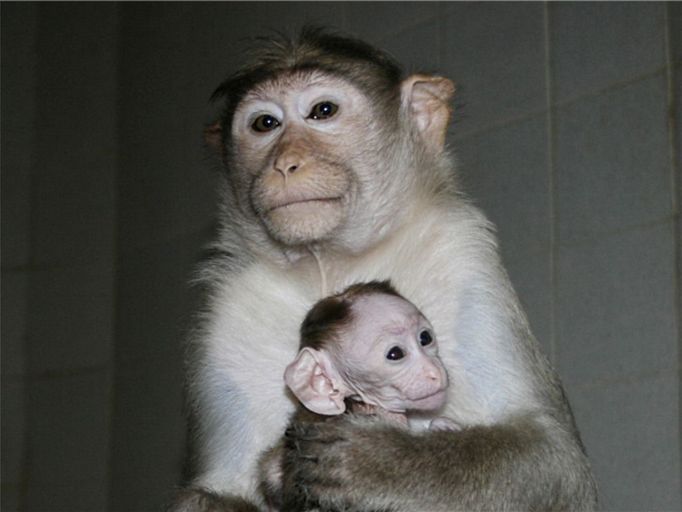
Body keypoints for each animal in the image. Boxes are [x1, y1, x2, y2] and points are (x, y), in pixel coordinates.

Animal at [170, 29, 596, 512]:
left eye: (323, 111)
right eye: (265, 124)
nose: (285, 163)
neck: (330, 263)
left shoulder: (463, 252)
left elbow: (553, 456)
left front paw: (376, 461)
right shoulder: (226, 307)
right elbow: (217, 491)